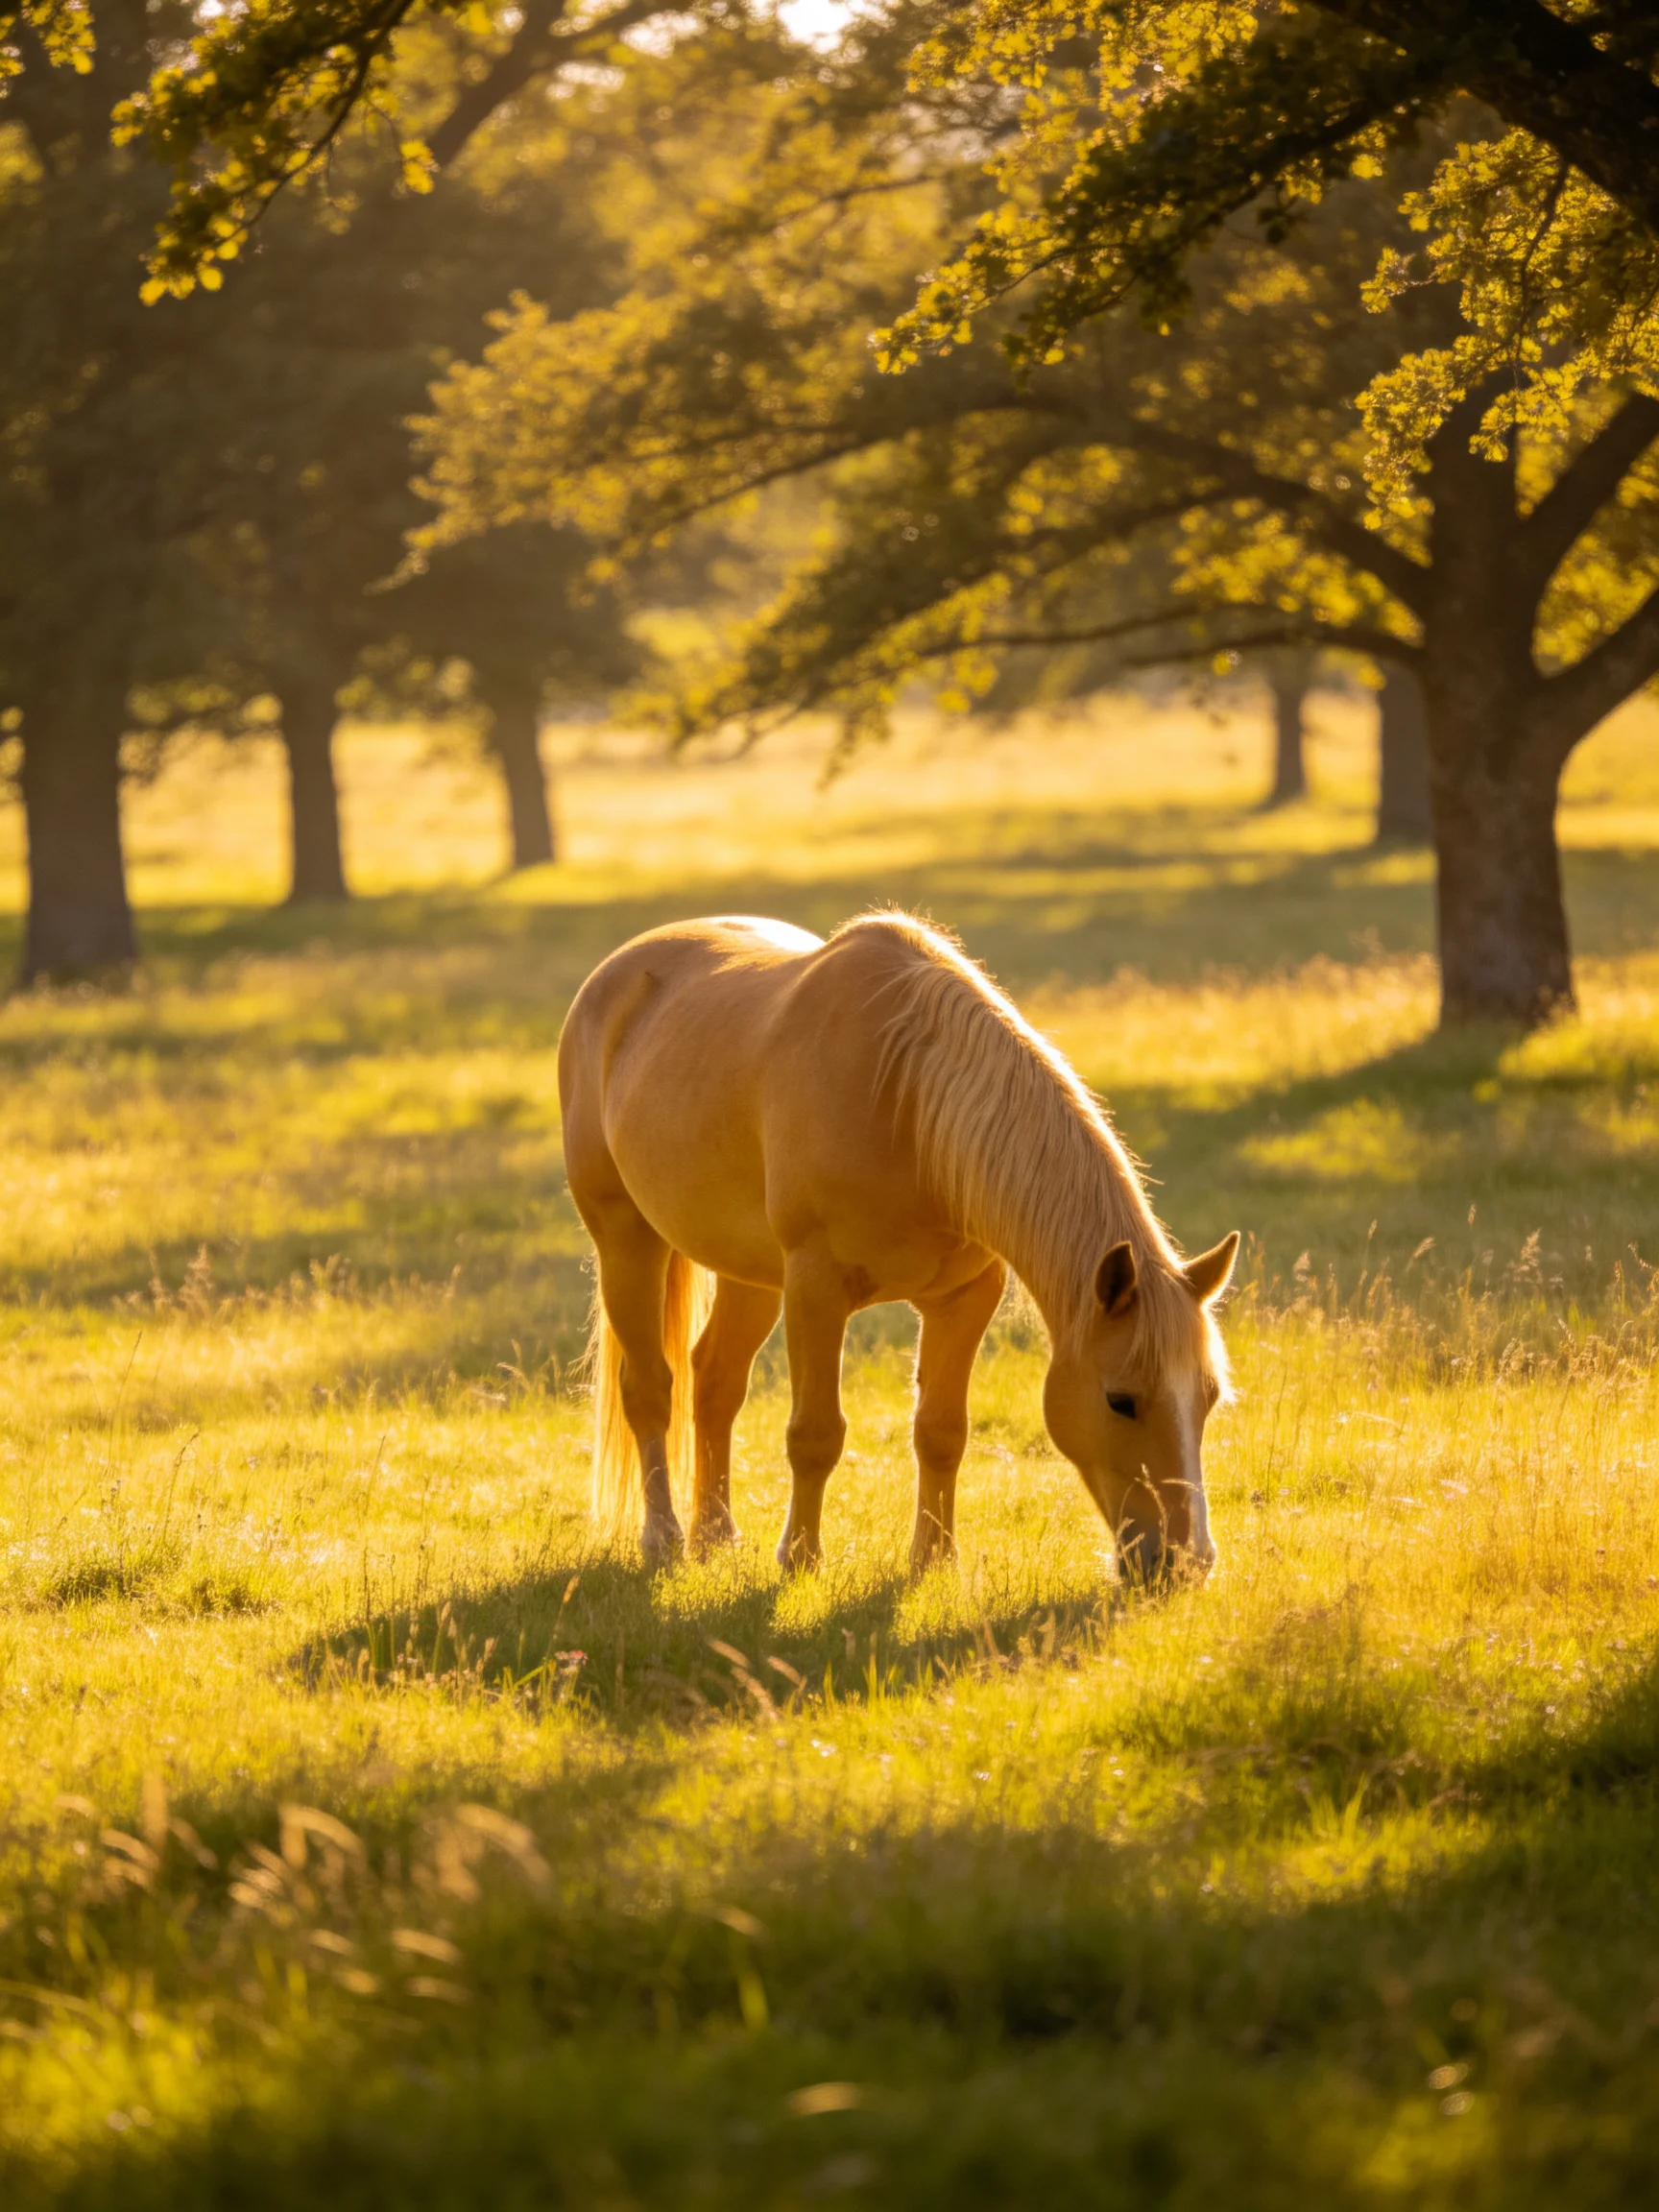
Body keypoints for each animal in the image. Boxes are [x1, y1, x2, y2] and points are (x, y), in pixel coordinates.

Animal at [558, 911, 1238, 1582]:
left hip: (748, 1273)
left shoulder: (965, 1297)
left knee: (715, 1382)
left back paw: (715, 1537)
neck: (908, 1102)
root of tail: (615, 974)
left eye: (1208, 1397)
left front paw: (933, 1561)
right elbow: (815, 1433)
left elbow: (941, 1430)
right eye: (1121, 1401)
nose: (1187, 1563)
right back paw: (664, 1538)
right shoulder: (815, 1289)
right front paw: (800, 1560)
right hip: (627, 1240)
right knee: (650, 1388)